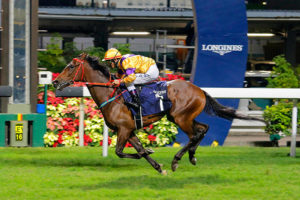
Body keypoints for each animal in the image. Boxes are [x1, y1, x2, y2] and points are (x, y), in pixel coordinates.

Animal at [52, 52, 264, 173]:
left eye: (71, 66)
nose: (55, 82)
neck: (111, 95)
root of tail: (199, 89)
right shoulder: (128, 130)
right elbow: (137, 151)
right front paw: (158, 166)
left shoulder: (124, 129)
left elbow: (120, 152)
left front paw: (152, 153)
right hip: (181, 117)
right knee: (203, 128)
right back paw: (192, 157)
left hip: (181, 117)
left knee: (194, 135)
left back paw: (177, 160)